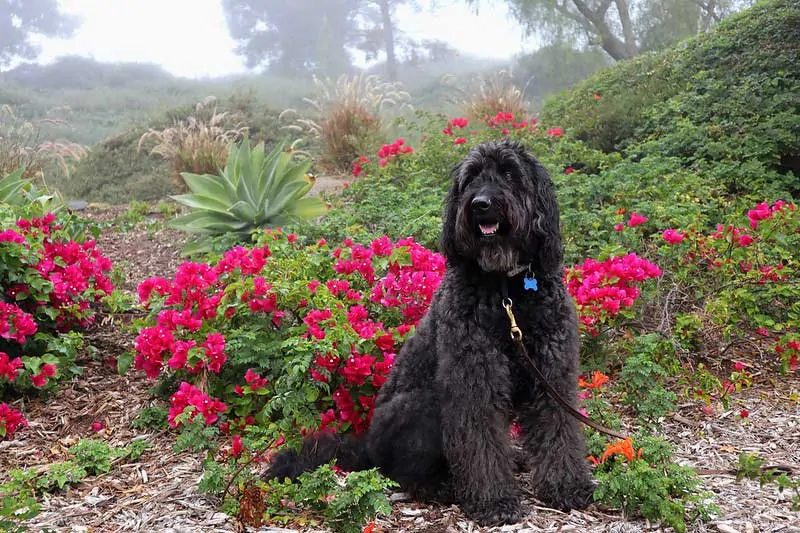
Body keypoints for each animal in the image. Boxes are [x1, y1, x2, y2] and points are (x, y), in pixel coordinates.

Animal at [268, 137, 592, 524]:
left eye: (510, 173)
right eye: (471, 178)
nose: (480, 204)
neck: (506, 292)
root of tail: (367, 446)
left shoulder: (551, 371)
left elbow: (559, 427)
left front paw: (566, 486)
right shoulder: (473, 379)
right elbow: (480, 441)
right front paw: (494, 501)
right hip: (423, 404)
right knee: (404, 473)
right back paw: (441, 487)